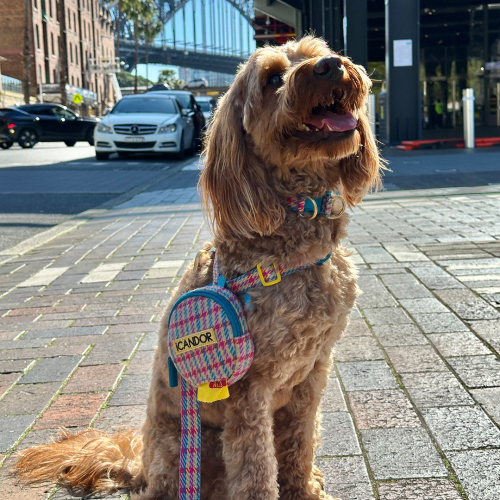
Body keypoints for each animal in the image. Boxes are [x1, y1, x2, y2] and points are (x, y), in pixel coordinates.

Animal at [15, 36, 381, 500]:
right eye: (272, 79)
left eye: (318, 52)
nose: (331, 66)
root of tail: (138, 465)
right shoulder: (249, 389)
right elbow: (257, 469)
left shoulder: (313, 373)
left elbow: (299, 444)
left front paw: (305, 489)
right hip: (185, 446)